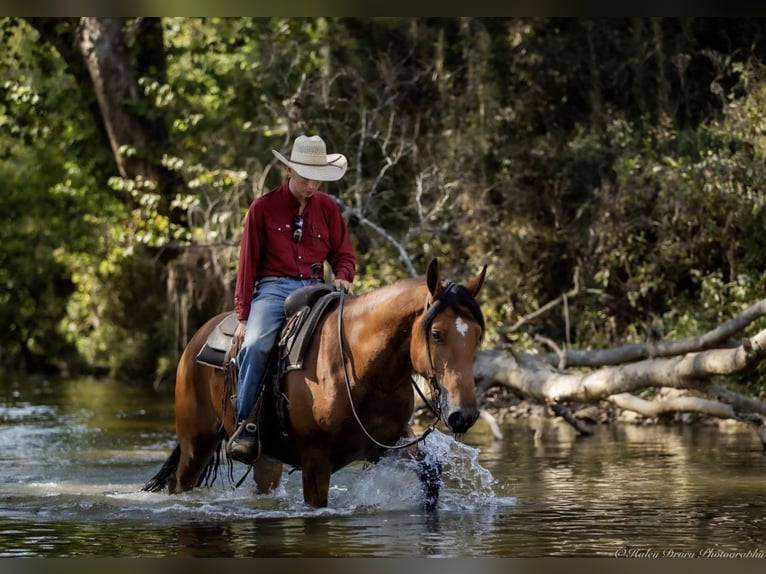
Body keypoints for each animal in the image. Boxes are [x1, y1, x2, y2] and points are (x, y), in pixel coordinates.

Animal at [143, 258, 486, 509]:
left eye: (476, 336)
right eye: (436, 334)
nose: (464, 415)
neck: (362, 370)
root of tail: (195, 340)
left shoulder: (391, 445)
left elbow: (431, 476)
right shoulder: (315, 462)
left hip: (266, 459)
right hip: (196, 444)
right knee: (180, 482)